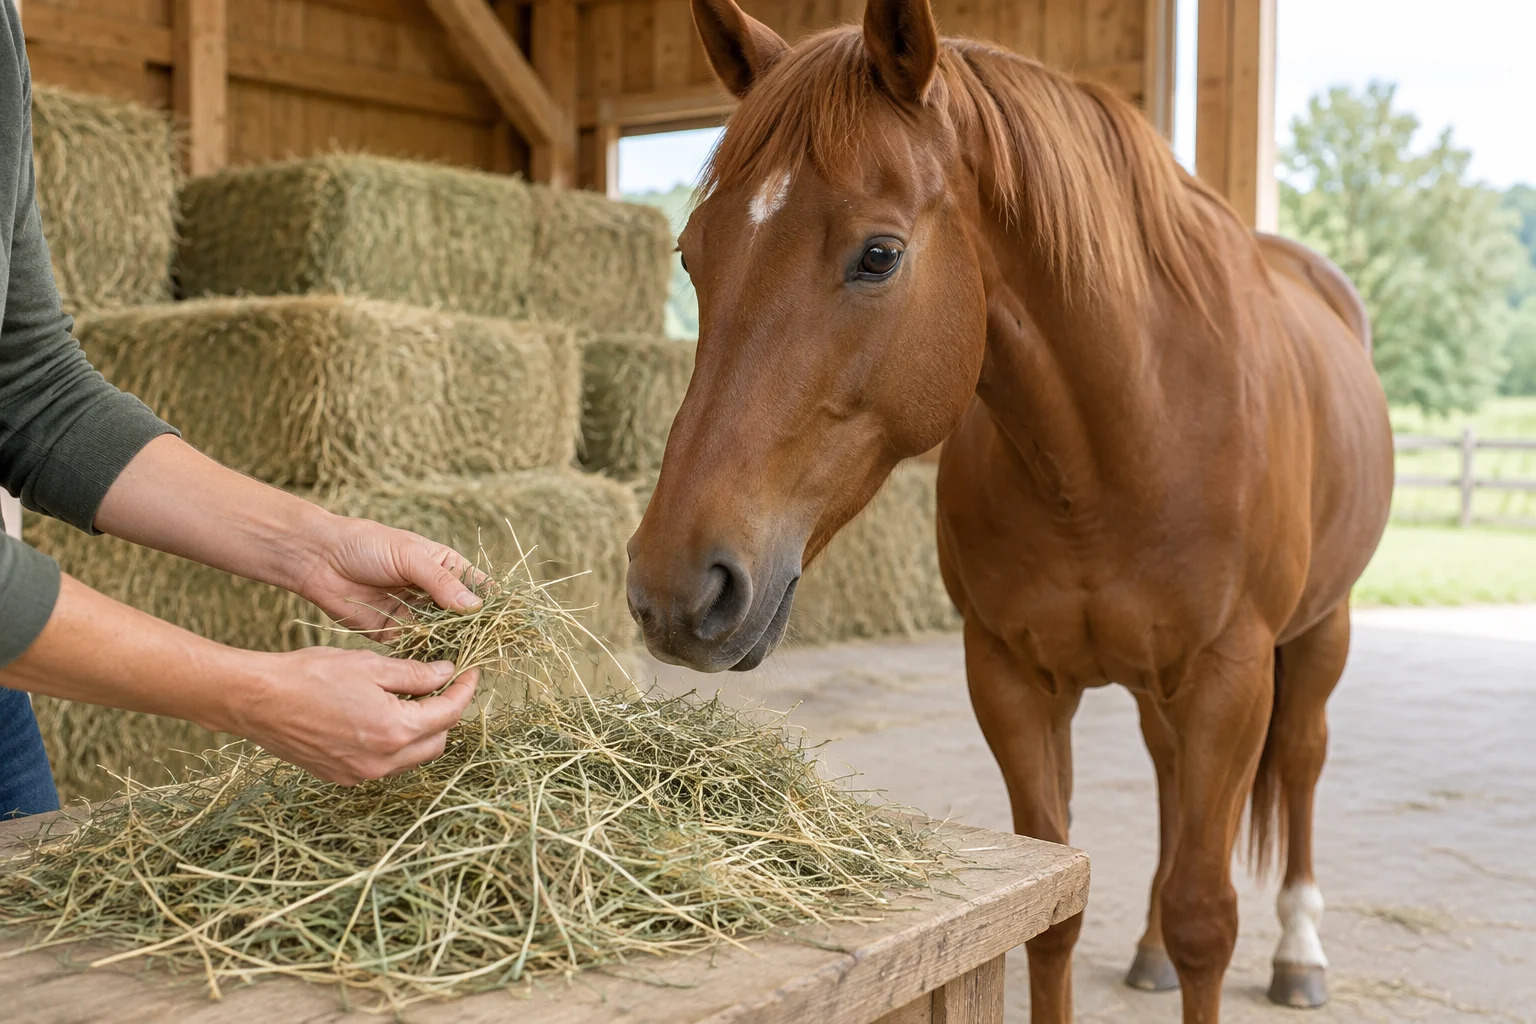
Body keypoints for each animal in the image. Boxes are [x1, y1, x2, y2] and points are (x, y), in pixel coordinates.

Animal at [624, 0, 1395, 1019]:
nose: (675, 590)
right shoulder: (1010, 678)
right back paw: (1149, 947)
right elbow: (1055, 904)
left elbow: (1207, 919)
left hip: (1317, 636)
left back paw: (1301, 951)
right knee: (1169, 772)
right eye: (691, 254)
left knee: (1301, 762)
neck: (1118, 447)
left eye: (879, 255)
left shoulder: (1230, 678)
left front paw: (1217, 936)